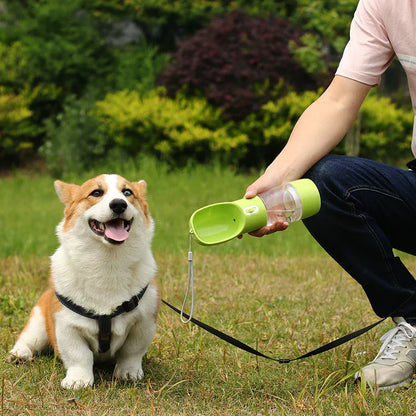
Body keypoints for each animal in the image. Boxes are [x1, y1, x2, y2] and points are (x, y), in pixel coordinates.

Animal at [8, 174, 158, 388]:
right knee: (27, 338)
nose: (119, 204)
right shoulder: (67, 325)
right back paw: (20, 353)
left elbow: (132, 352)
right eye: (96, 193)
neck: (108, 262)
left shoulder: (144, 322)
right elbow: (79, 355)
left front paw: (128, 373)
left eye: (128, 192)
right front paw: (78, 380)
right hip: (38, 322)